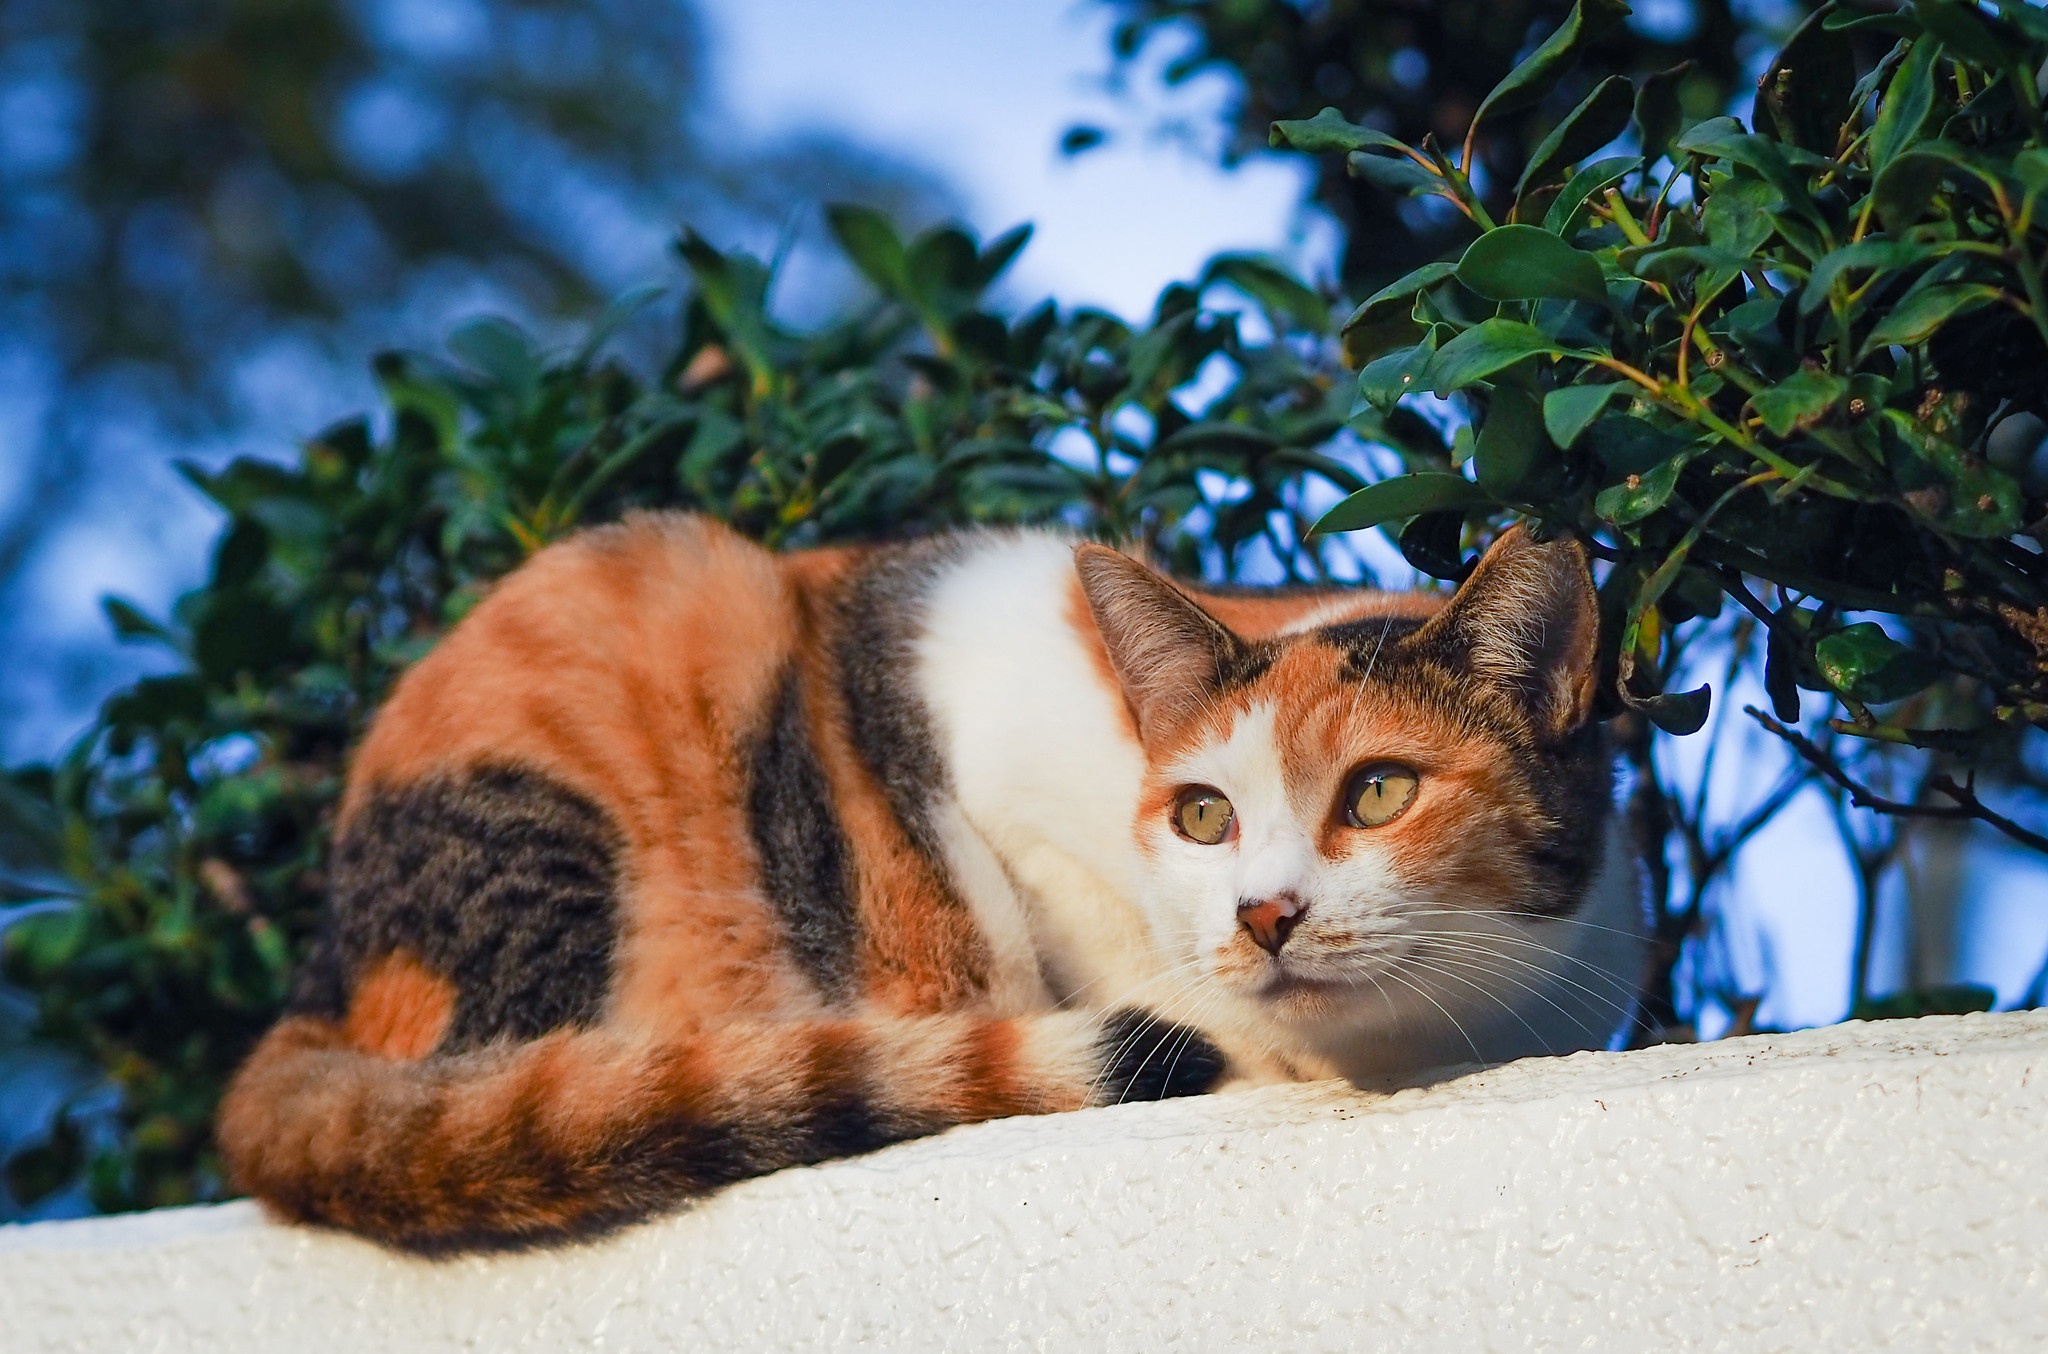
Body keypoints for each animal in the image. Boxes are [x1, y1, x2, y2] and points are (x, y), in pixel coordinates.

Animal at [216, 512, 1638, 1253]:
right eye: (1202, 817)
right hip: (676, 606)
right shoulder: (992, 787)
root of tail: (316, 973)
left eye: (1380, 791)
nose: (1263, 913)